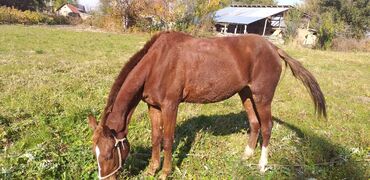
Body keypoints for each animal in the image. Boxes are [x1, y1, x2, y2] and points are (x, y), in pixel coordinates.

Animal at [88, 31, 326, 179]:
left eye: (108, 154)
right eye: (95, 153)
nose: (105, 179)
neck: (157, 63)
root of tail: (274, 47)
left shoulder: (170, 105)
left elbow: (167, 140)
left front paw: (165, 173)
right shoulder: (153, 106)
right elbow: (155, 138)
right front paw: (151, 170)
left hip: (262, 97)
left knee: (267, 127)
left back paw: (261, 165)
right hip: (246, 93)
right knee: (254, 124)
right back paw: (246, 155)